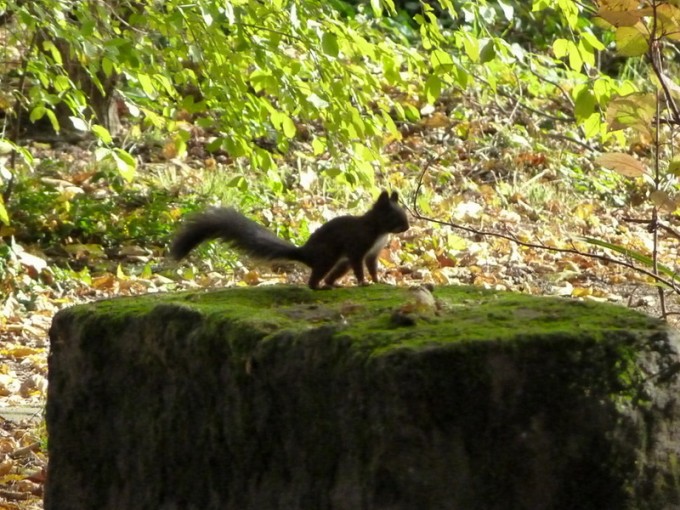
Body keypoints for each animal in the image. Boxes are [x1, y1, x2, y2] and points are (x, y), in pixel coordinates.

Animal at [170, 190, 409, 290]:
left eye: (404, 214)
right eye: (394, 216)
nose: (407, 227)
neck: (378, 229)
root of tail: (305, 254)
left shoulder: (373, 253)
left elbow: (372, 266)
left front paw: (378, 280)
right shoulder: (357, 247)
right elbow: (359, 266)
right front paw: (363, 282)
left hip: (339, 264)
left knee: (330, 276)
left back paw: (333, 285)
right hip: (328, 256)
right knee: (314, 280)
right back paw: (320, 287)